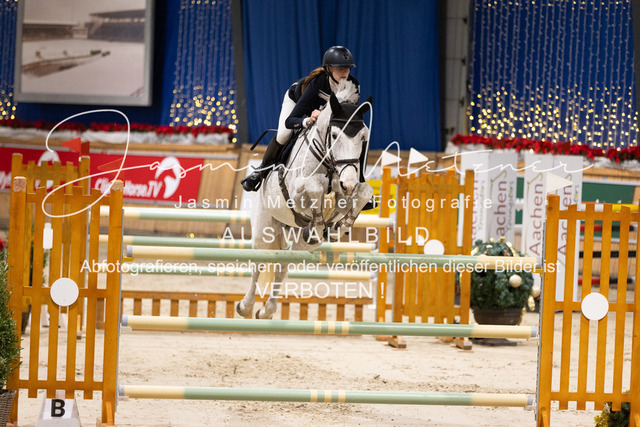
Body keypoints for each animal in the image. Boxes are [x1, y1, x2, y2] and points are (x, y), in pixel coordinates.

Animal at [237, 84, 373, 319]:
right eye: (334, 135)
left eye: (363, 137)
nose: (348, 184)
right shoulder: (296, 191)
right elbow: (315, 186)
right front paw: (320, 221)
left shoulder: (349, 187)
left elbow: (363, 191)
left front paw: (338, 227)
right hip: (265, 229)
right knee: (259, 264)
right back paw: (246, 306)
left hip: (299, 240)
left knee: (283, 264)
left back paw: (266, 310)